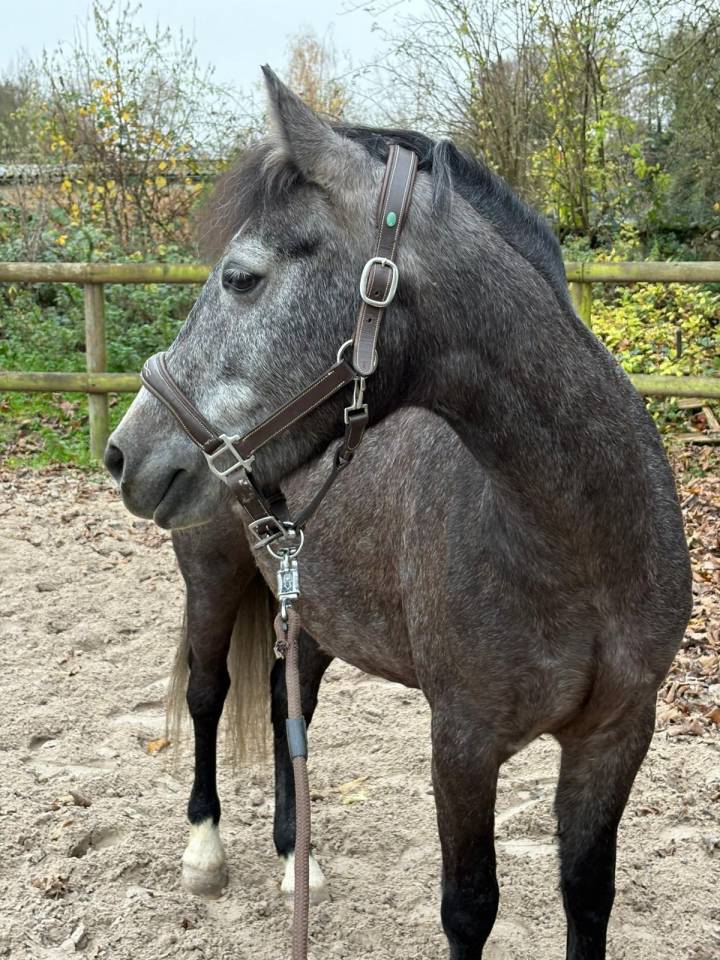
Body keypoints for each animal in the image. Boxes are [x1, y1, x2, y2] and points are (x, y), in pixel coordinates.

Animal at [104, 67, 692, 959]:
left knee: (286, 705)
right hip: (211, 576)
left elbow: (588, 898)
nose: (125, 452)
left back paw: (297, 861)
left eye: (241, 276)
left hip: (309, 607)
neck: (577, 549)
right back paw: (205, 853)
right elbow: (470, 907)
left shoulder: (616, 736)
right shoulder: (463, 742)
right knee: (208, 694)